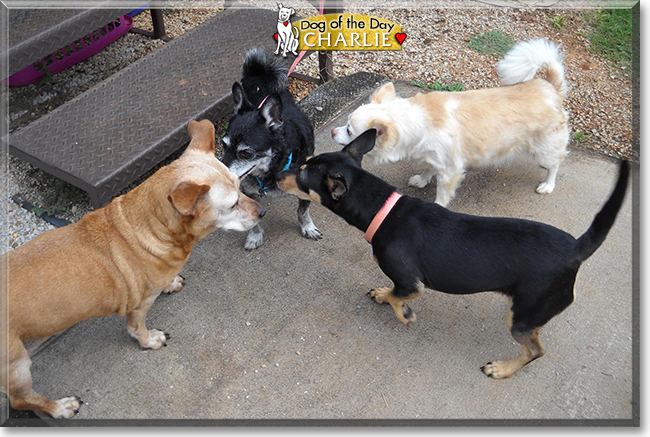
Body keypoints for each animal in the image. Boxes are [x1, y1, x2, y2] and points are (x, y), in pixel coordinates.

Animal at [0, 119, 264, 418]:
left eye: (240, 185)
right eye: (231, 204)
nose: (262, 212)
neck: (151, 224)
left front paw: (171, 283)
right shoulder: (139, 306)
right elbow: (137, 329)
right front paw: (149, 341)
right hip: (18, 365)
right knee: (21, 399)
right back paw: (59, 407)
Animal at [278, 129, 628, 378]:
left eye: (302, 177)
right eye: (303, 165)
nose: (278, 175)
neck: (383, 209)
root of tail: (576, 248)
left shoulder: (411, 282)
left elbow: (398, 296)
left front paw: (403, 313)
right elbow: (389, 291)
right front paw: (381, 293)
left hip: (523, 314)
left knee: (535, 351)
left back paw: (502, 369)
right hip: (530, 312)